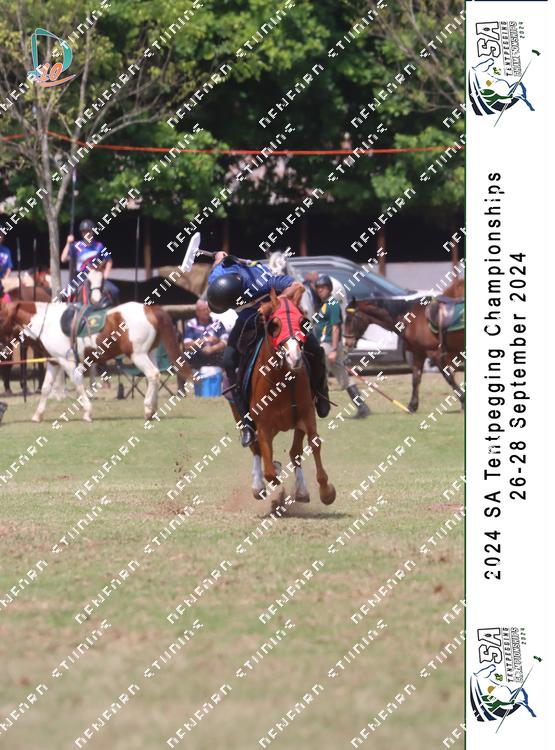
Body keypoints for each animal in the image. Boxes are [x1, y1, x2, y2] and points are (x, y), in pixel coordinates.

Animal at [0, 300, 192, 422]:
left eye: (1, 318)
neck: (47, 324)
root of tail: (149, 310)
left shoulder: (68, 362)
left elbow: (78, 385)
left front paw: (87, 412)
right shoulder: (55, 362)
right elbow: (46, 388)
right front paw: (38, 415)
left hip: (138, 355)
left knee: (152, 375)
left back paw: (147, 409)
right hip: (150, 353)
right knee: (155, 376)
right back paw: (153, 408)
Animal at [232, 287, 336, 512]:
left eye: (303, 322)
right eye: (274, 325)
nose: (294, 357)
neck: (281, 381)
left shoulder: (306, 415)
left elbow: (312, 444)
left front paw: (325, 491)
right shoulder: (263, 427)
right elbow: (270, 470)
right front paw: (273, 481)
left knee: (294, 451)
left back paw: (301, 489)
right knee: (255, 449)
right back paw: (258, 485)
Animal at [344, 278, 464, 413]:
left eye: (350, 319)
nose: (347, 342)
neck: (411, 318)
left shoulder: (434, 353)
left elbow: (449, 377)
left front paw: (463, 400)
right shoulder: (418, 353)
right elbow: (416, 379)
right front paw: (413, 405)